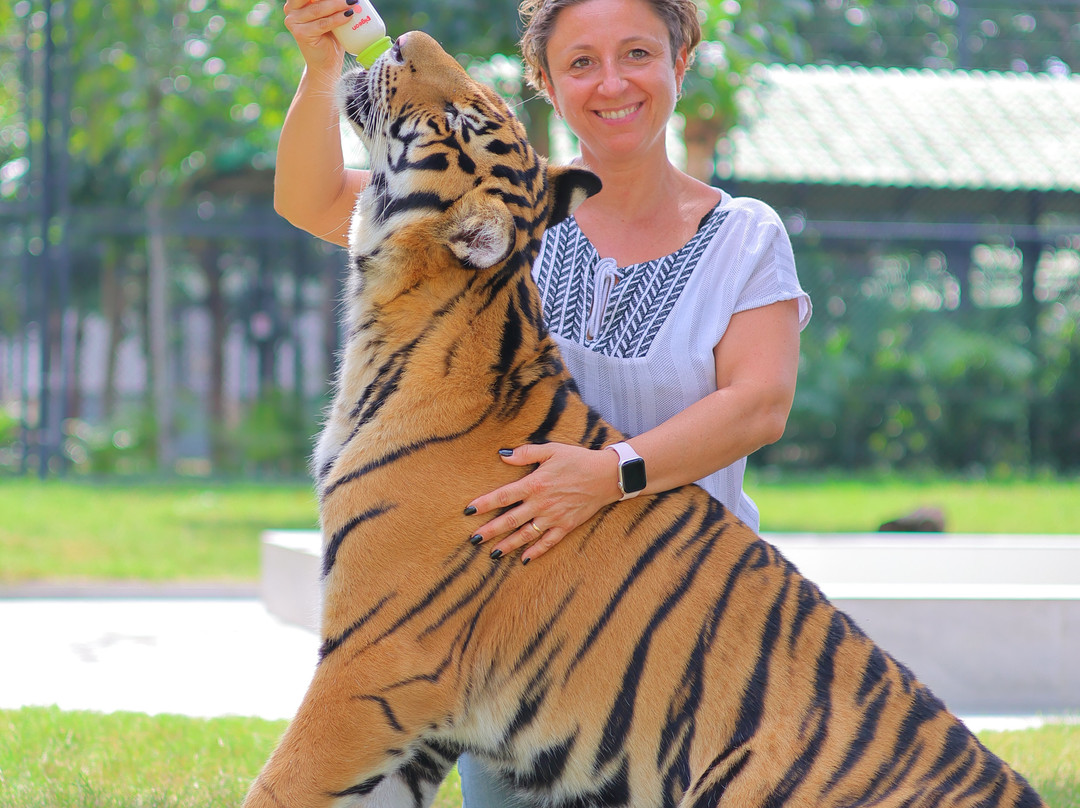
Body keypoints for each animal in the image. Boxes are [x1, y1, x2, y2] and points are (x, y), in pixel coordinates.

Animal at [243, 30, 1046, 808]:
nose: (402, 39)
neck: (397, 311)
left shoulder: (376, 663)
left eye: (464, 119)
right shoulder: (419, 721)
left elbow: (279, 781)